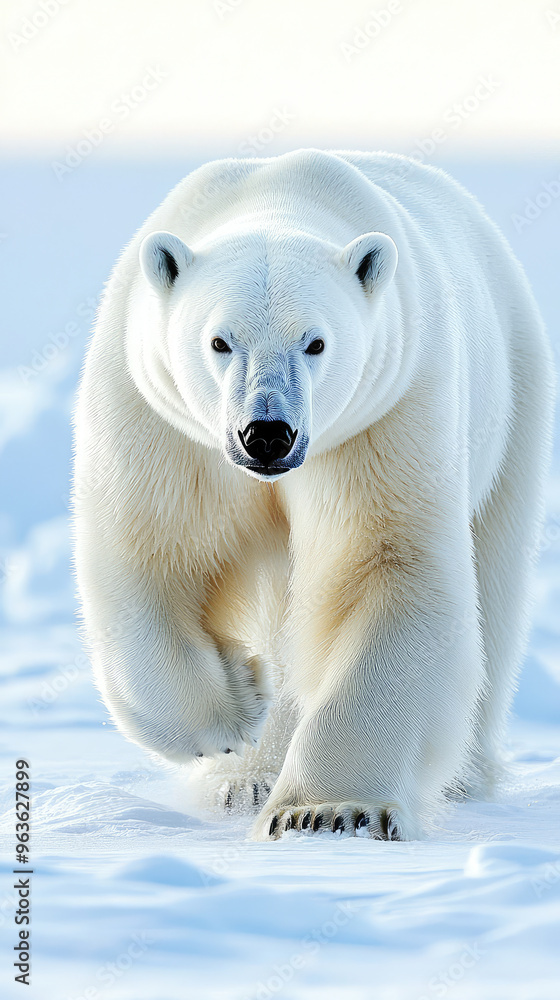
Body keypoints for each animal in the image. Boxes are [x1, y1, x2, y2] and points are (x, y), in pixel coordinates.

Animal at [73, 148, 555, 841]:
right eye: (219, 341)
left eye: (316, 342)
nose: (266, 433)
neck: (280, 196)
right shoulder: (160, 418)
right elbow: (152, 553)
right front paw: (235, 705)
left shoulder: (387, 411)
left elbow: (385, 566)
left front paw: (325, 812)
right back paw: (242, 779)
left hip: (514, 400)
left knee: (494, 578)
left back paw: (463, 775)